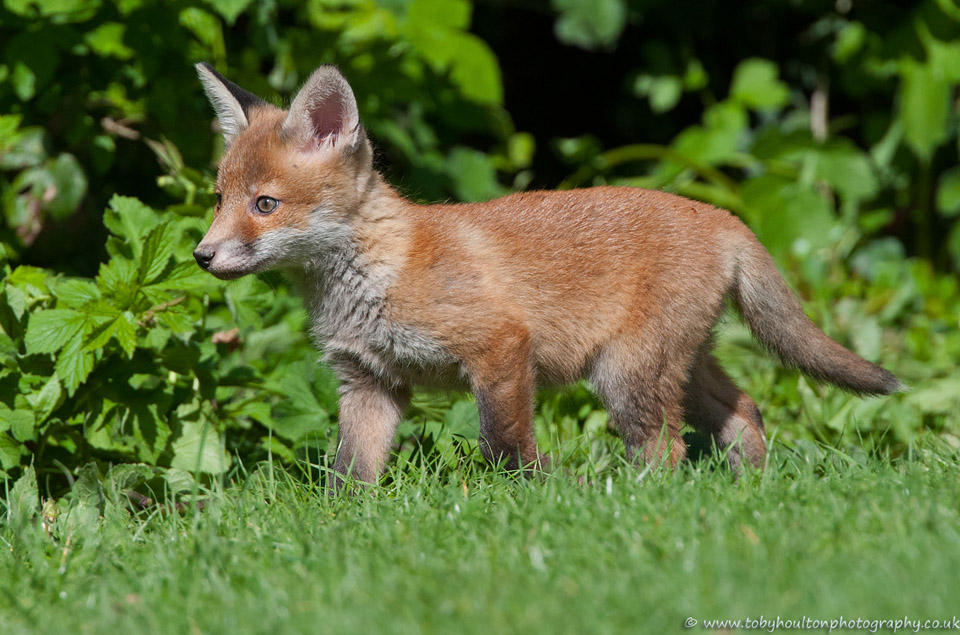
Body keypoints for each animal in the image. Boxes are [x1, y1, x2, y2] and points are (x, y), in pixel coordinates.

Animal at [193, 60, 900, 486]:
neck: (374, 277)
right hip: (679, 367)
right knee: (743, 412)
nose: (202, 255)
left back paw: (640, 500)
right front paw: (349, 525)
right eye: (220, 199)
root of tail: (722, 215)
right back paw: (750, 485)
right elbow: (349, 473)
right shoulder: (369, 381)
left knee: (665, 450)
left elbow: (505, 449)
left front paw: (534, 494)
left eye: (265, 205)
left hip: (625, 375)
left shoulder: (501, 347)